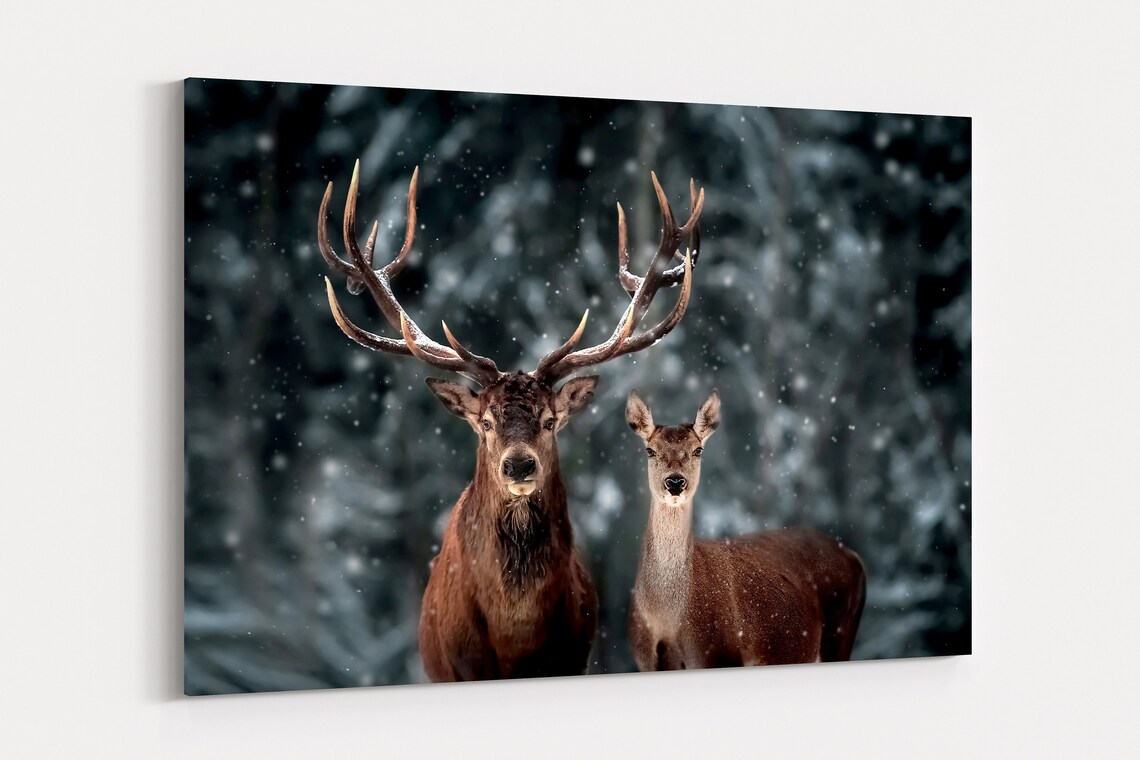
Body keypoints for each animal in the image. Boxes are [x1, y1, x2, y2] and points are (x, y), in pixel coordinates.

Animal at [625, 390, 866, 671]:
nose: (675, 482)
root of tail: (854, 556)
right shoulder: (645, 660)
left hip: (840, 634)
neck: (667, 618)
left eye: (698, 450)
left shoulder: (720, 652)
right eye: (650, 450)